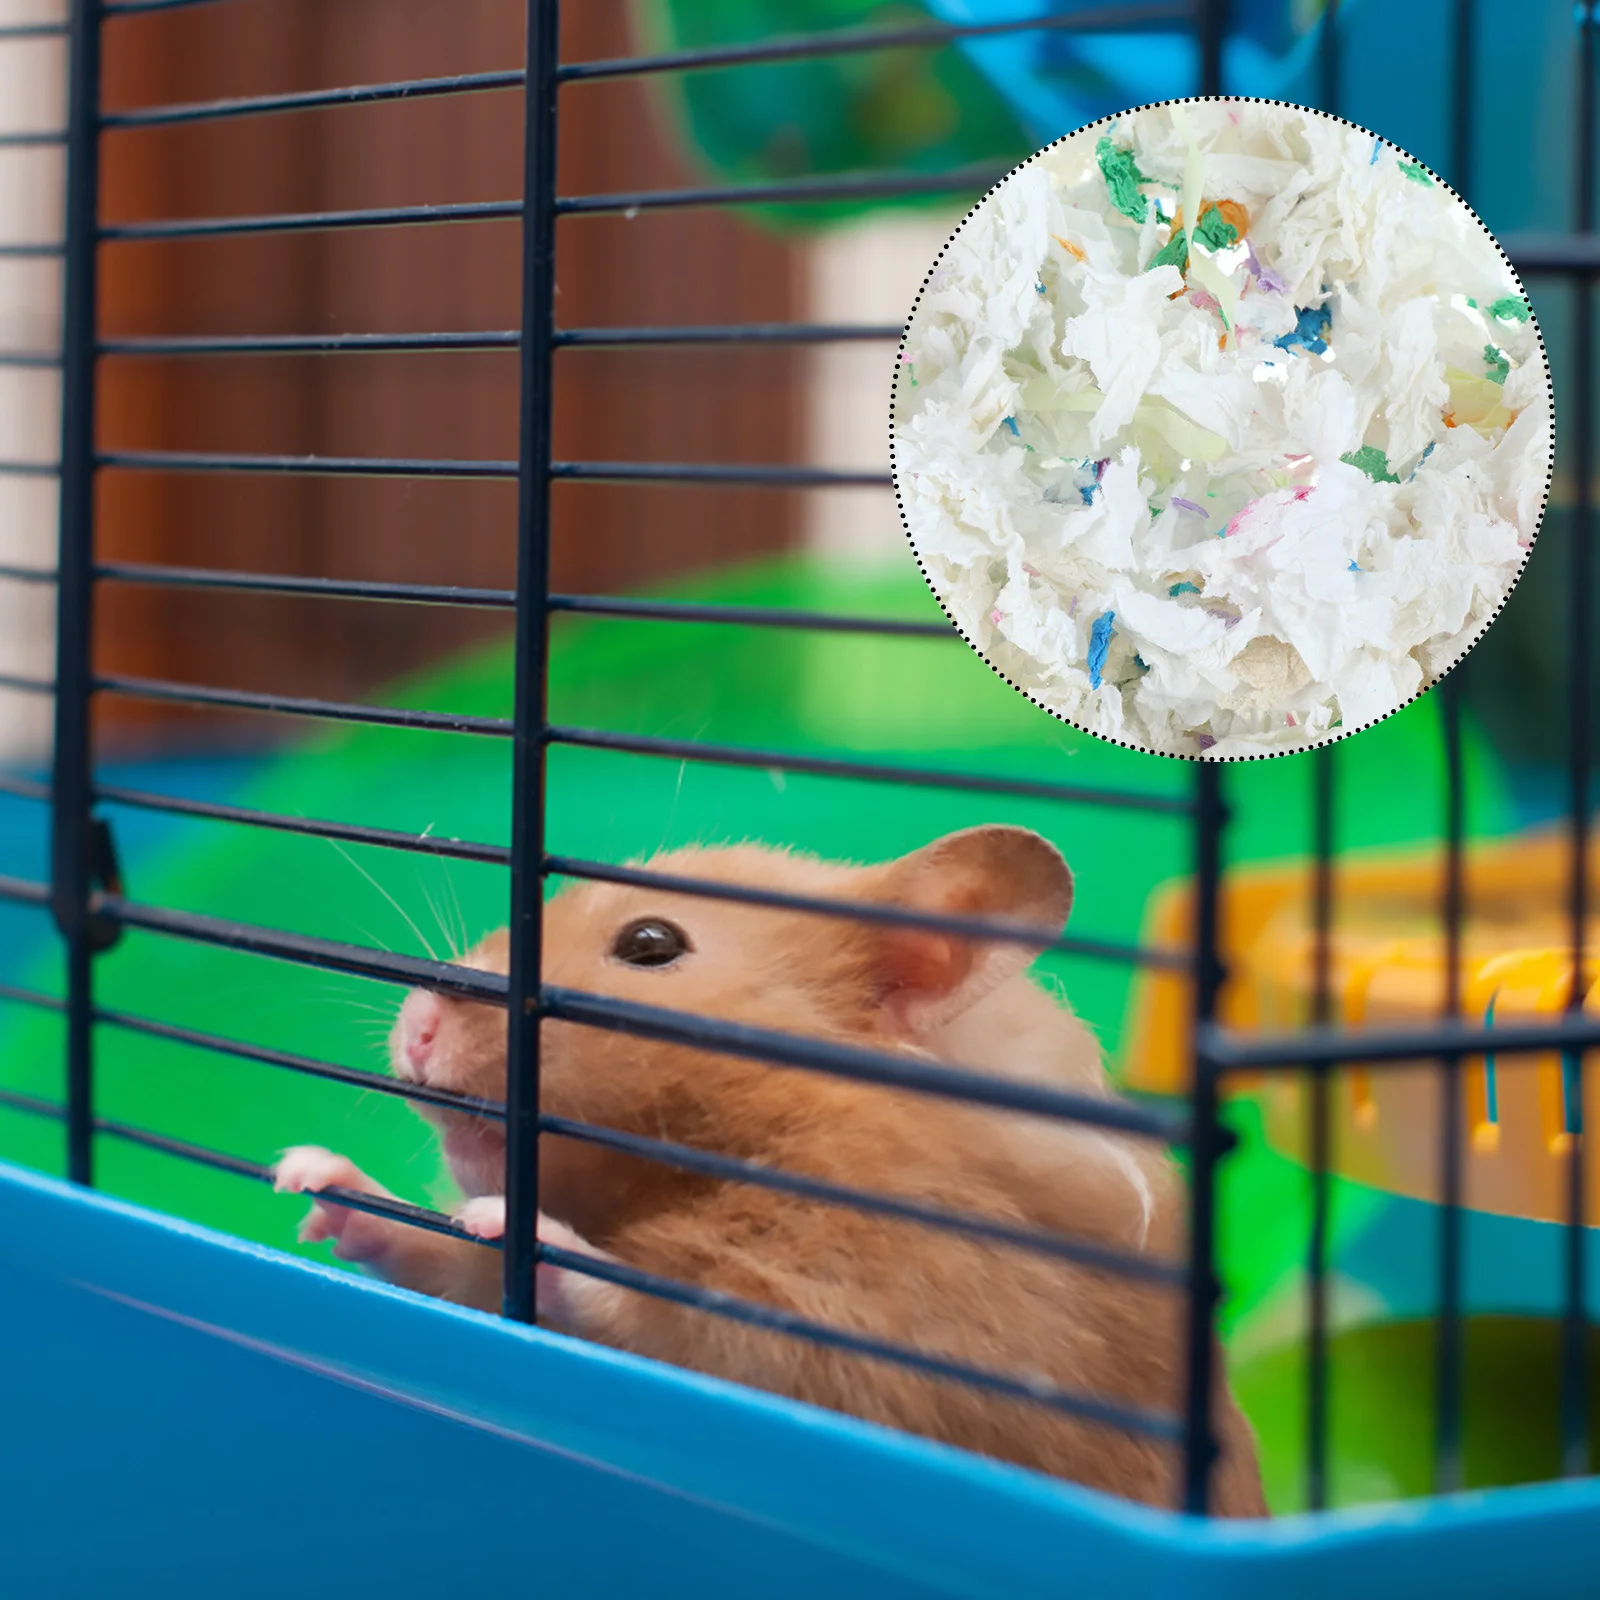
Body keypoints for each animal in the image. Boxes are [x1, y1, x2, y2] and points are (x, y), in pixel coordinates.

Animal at [275, 825, 1266, 1515]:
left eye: (650, 942)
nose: (415, 1025)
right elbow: (442, 1260)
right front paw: (309, 1179)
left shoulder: (883, 1324)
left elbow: (667, 1315)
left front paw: (514, 1226)